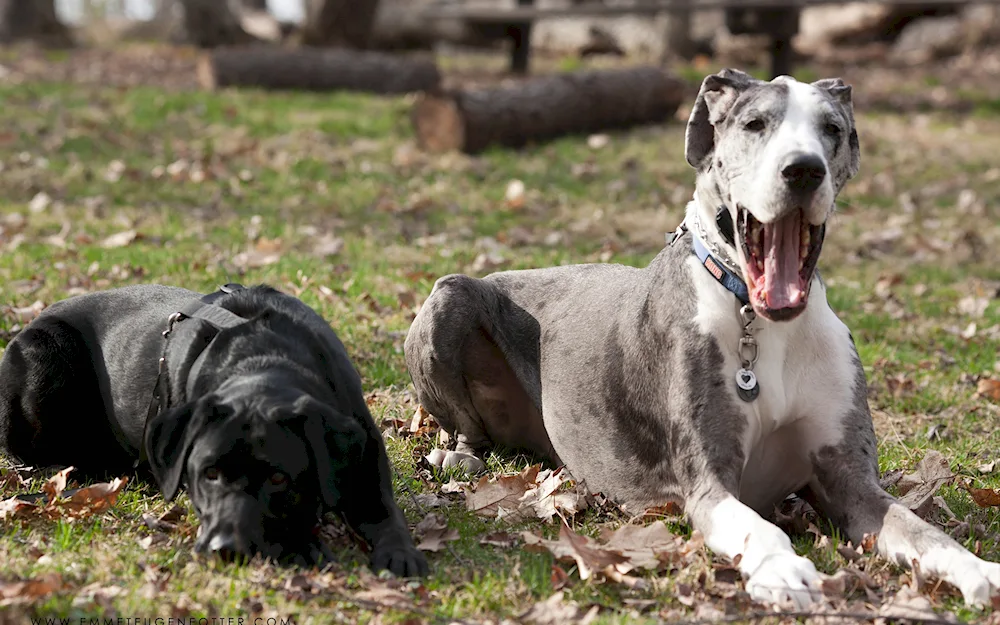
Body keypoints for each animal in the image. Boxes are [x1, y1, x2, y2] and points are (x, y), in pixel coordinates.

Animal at [0, 284, 426, 576]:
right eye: (209, 474)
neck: (264, 359)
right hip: (45, 357)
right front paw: (303, 545)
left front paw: (400, 554)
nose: (227, 549)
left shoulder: (366, 462)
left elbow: (385, 515)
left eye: (278, 478)